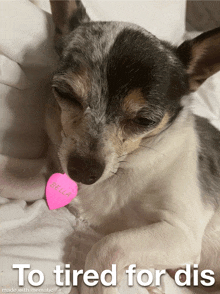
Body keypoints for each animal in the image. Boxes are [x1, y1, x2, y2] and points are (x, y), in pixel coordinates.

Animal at [45, 1, 220, 292]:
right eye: (64, 94)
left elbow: (109, 246)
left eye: (144, 121)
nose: (83, 171)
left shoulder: (182, 233)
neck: (127, 167)